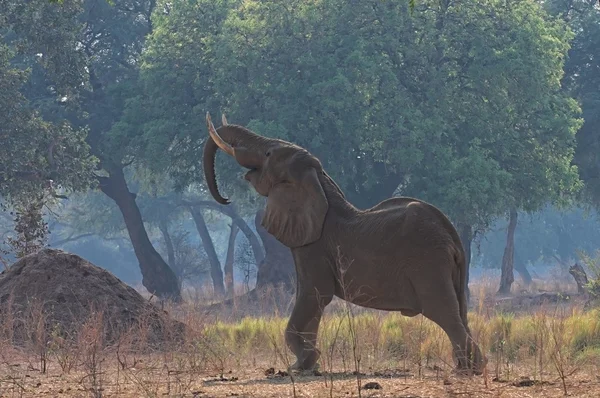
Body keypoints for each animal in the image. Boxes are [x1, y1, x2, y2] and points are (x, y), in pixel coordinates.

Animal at [204, 112, 486, 376]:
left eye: (269, 153)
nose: (225, 199)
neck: (319, 182)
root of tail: (451, 235)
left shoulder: (315, 246)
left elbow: (314, 293)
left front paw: (302, 363)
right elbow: (312, 299)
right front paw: (306, 364)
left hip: (428, 263)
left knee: (443, 311)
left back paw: (468, 370)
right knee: (458, 311)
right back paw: (470, 366)